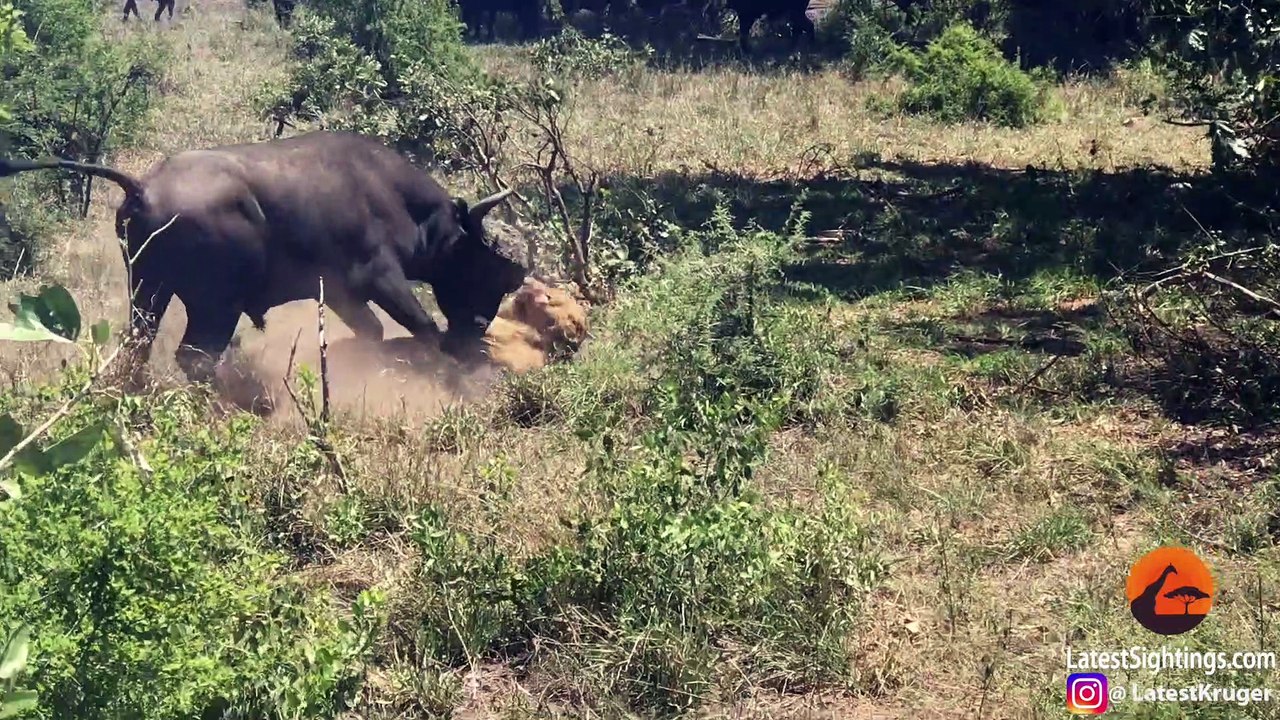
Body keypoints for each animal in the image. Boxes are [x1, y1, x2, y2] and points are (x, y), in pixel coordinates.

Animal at [0, 131, 528, 400]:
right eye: (487, 263)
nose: (477, 329)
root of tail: (143, 187)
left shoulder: (342, 294)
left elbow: (373, 333)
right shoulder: (380, 278)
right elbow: (422, 327)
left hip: (148, 291)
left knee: (141, 346)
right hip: (215, 304)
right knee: (195, 357)